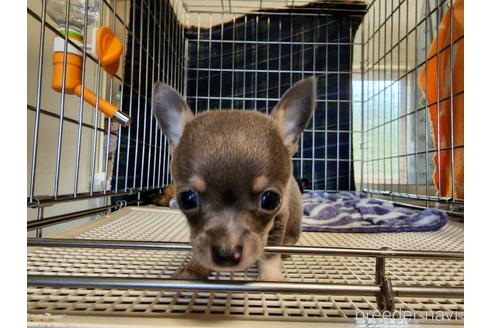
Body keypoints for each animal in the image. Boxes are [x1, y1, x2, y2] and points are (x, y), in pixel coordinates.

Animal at [152, 76, 318, 280]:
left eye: (270, 200)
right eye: (187, 199)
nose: (227, 254)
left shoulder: (280, 218)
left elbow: (270, 252)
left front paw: (270, 278)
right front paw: (194, 269)